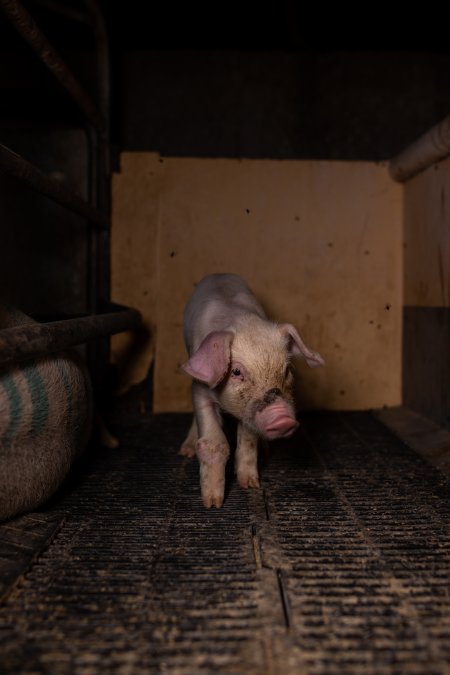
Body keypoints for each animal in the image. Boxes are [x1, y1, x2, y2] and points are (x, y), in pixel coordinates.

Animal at [181, 274, 326, 508]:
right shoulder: (200, 389)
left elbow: (248, 440)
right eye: (236, 371)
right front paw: (212, 504)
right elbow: (214, 443)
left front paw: (250, 485)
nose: (282, 418)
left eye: (287, 369)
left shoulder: (248, 410)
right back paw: (186, 452)